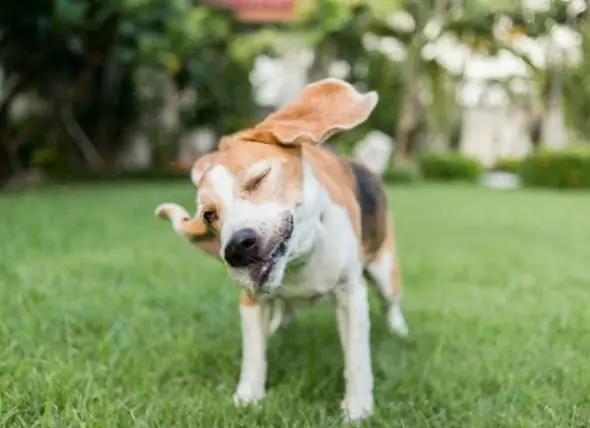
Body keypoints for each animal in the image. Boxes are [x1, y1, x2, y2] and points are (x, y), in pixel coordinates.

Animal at [155, 77, 410, 422]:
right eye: (209, 215)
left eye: (257, 179)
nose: (236, 249)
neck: (299, 259)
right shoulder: (251, 301)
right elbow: (253, 355)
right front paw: (247, 398)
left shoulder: (350, 295)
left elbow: (356, 361)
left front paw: (357, 410)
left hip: (384, 271)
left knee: (390, 302)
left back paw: (399, 330)